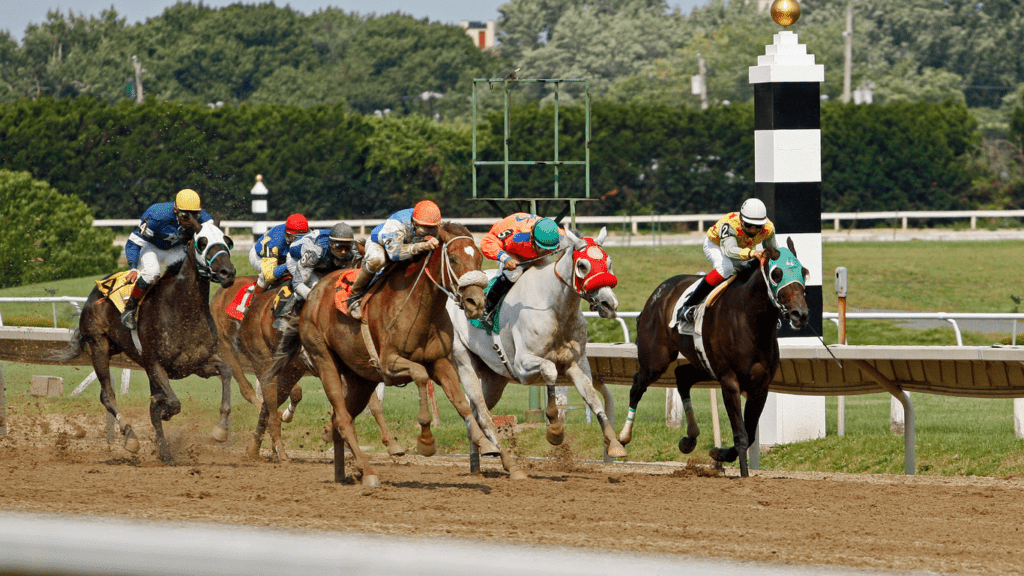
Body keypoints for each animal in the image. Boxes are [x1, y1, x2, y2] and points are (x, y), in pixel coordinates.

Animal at [54, 219, 237, 461]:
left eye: (227, 241)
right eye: (202, 242)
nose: (228, 272)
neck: (182, 309)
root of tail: (97, 290)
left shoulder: (197, 363)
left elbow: (226, 371)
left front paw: (221, 430)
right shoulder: (155, 364)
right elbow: (172, 404)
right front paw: (165, 411)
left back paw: (164, 452)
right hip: (99, 347)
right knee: (107, 395)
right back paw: (131, 437)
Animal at [262, 220, 489, 483]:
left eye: (480, 258)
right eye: (452, 258)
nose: (476, 303)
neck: (418, 308)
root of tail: (314, 295)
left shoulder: (440, 361)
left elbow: (461, 402)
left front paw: (484, 441)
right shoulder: (388, 364)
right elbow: (420, 375)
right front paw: (426, 441)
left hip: (360, 378)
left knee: (338, 419)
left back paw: (343, 472)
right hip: (324, 360)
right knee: (342, 417)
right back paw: (368, 472)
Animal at [446, 226, 626, 477]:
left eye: (608, 262)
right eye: (582, 265)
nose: (609, 304)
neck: (555, 307)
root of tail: (454, 296)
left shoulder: (576, 363)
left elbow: (592, 396)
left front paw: (615, 443)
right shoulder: (522, 366)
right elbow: (550, 370)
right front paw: (554, 428)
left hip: (494, 378)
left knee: (475, 409)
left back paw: (479, 457)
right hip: (465, 362)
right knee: (482, 413)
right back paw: (508, 464)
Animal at [614, 234, 806, 475]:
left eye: (804, 272)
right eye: (776, 274)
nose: (800, 314)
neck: (750, 321)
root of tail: (658, 293)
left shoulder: (760, 386)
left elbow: (750, 434)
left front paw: (719, 454)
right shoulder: (729, 381)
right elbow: (741, 435)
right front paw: (743, 475)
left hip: (704, 364)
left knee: (682, 376)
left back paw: (689, 439)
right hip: (655, 361)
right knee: (638, 385)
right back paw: (622, 438)